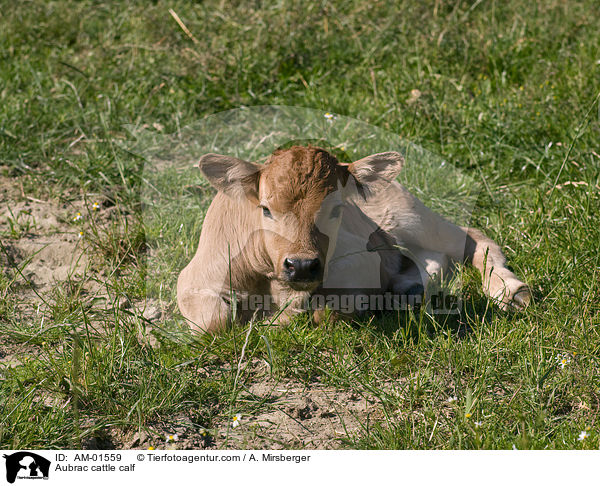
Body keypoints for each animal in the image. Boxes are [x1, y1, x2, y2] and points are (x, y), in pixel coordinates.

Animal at [178, 145, 528, 334]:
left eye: (337, 209)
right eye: (265, 209)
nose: (301, 265)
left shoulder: (358, 260)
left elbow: (325, 310)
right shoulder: (195, 276)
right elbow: (215, 322)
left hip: (411, 216)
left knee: (473, 239)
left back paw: (509, 290)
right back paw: (408, 290)